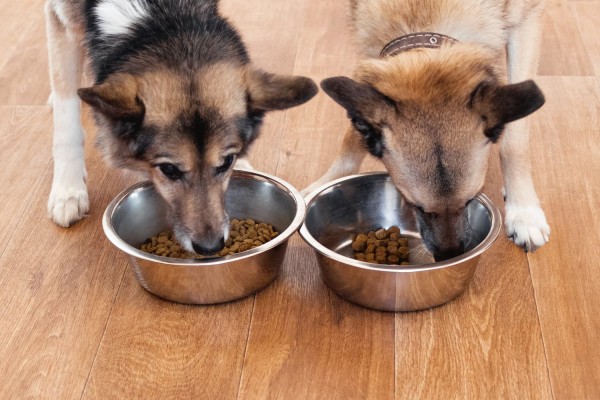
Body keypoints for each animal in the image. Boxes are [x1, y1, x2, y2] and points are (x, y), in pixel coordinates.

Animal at [45, 0, 318, 255]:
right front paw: (68, 190)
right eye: (168, 169)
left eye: (226, 163)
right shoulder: (61, 20)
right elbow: (67, 117)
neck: (162, 18)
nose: (210, 248)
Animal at [308, 0, 552, 260]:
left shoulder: (527, 22)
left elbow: (514, 143)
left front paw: (524, 211)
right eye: (414, 205)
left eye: (470, 200)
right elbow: (352, 137)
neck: (422, 16)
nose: (449, 256)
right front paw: (323, 183)